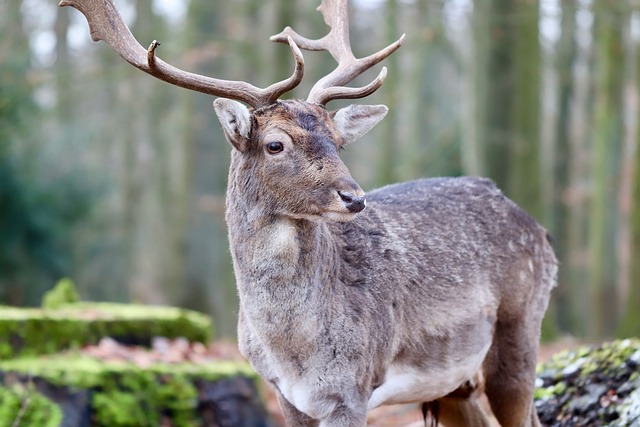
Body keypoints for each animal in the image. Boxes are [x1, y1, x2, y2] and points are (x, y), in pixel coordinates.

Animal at [61, 0, 558, 425]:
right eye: (274, 144)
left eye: (338, 143)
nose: (354, 197)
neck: (293, 349)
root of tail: (539, 229)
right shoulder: (285, 394)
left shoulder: (354, 388)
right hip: (454, 383)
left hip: (520, 327)